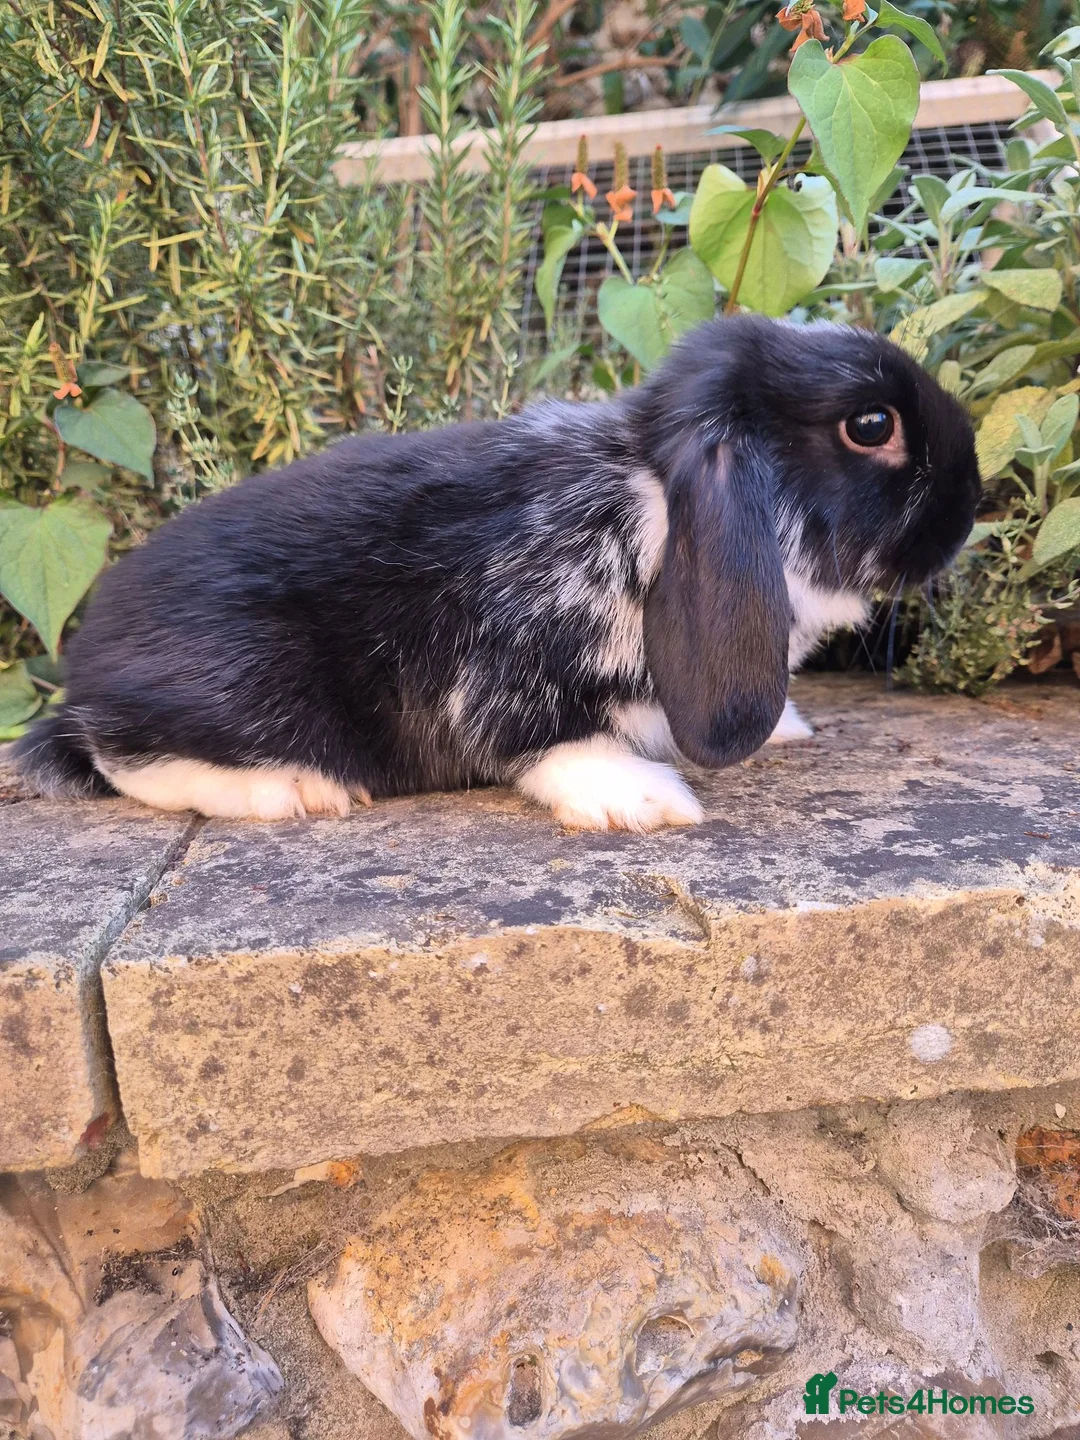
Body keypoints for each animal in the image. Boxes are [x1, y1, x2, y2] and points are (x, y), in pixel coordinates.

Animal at [16, 315, 980, 832]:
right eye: (871, 425)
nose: (971, 505)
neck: (646, 505)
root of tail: (85, 669)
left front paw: (785, 728)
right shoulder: (501, 669)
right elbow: (546, 742)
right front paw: (642, 798)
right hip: (242, 684)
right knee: (119, 753)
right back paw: (293, 789)